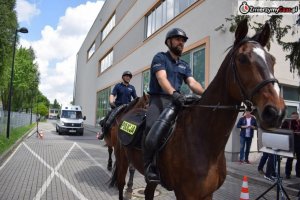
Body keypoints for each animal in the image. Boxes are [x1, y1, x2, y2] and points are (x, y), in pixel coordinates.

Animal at [109, 18, 286, 199]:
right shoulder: (185, 194)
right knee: (121, 183)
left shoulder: (207, 194)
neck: (203, 139)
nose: (275, 112)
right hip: (122, 159)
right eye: (242, 58)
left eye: (272, 60)